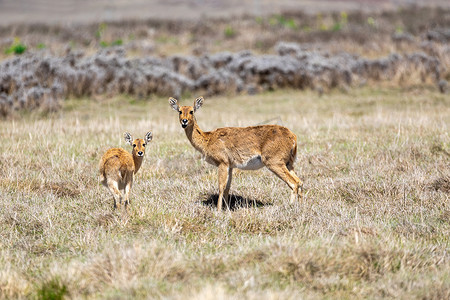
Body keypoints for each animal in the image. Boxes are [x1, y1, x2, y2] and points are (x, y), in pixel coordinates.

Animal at [171, 97, 304, 210]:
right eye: (180, 111)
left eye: (192, 111)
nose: (184, 121)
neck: (207, 139)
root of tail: (293, 136)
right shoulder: (230, 166)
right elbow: (227, 188)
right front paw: (226, 208)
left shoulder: (222, 163)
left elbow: (221, 187)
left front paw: (218, 211)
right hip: (289, 164)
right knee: (300, 181)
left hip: (274, 163)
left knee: (293, 183)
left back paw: (290, 207)